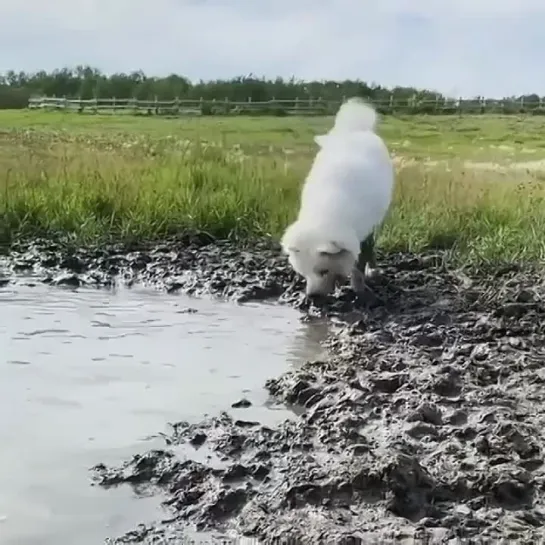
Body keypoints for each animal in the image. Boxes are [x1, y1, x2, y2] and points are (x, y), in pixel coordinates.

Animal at [280, 95, 396, 296]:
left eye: (323, 271)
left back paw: (373, 270)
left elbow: (360, 263)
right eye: (304, 273)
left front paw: (359, 288)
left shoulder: (364, 233)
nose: (312, 297)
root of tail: (356, 129)